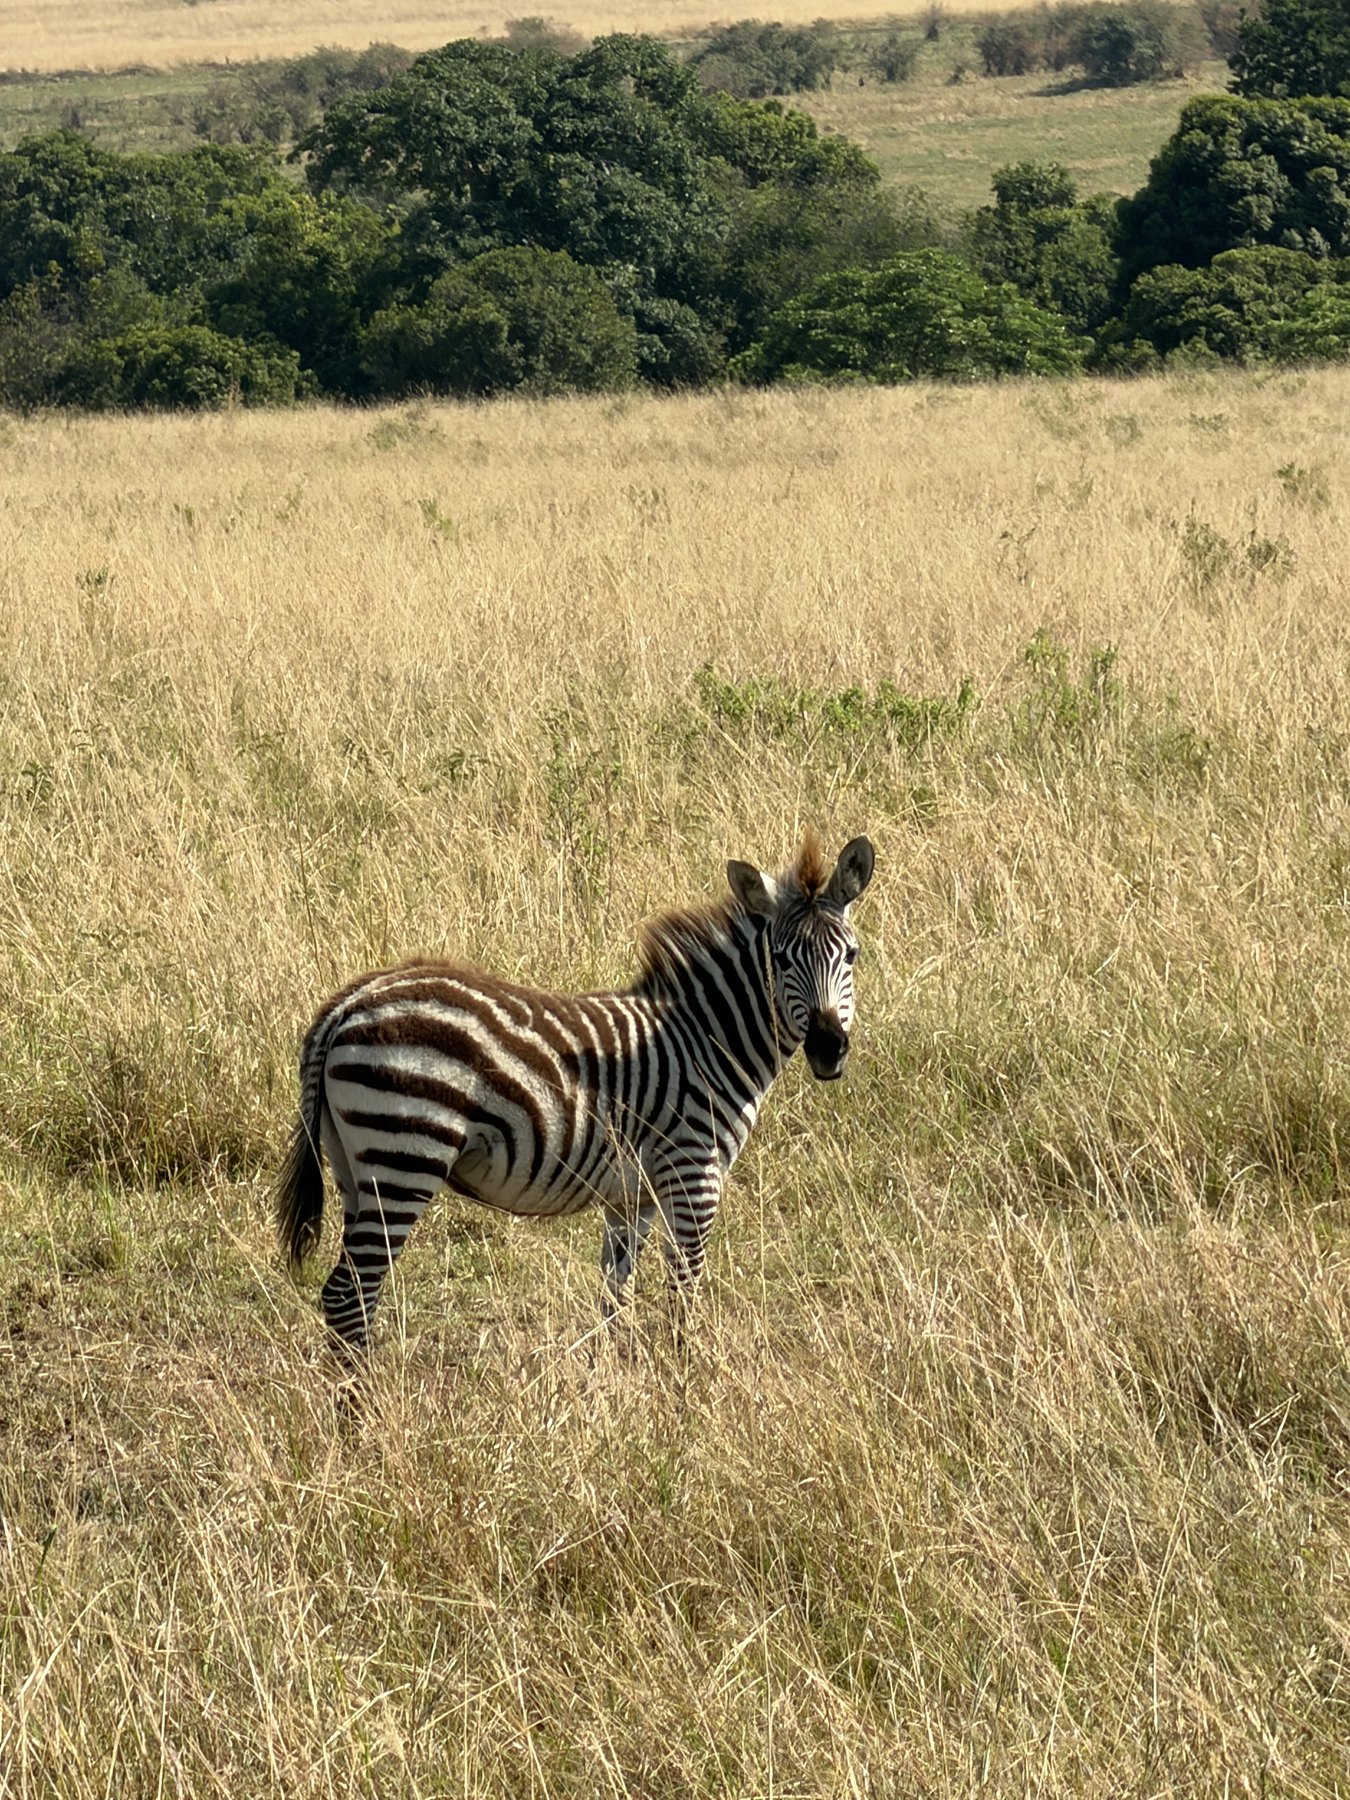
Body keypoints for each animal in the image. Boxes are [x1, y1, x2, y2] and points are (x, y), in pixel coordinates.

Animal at [275, 831, 874, 1358]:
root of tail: (347, 1004)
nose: (828, 1048)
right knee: (349, 1295)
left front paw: (620, 1384)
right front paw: (687, 1385)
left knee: (350, 1299)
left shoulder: (632, 1199)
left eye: (852, 956)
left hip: (355, 1166)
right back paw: (368, 1412)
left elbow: (615, 1299)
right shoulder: (693, 1176)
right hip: (404, 1154)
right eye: (782, 958)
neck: (707, 1040)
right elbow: (682, 1299)